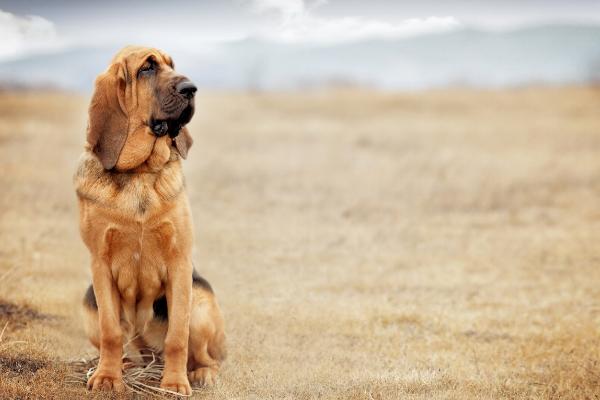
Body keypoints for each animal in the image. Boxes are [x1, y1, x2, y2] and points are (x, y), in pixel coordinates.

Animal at [75, 46, 225, 394]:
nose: (191, 89)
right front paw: (107, 378)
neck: (140, 172)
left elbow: (177, 337)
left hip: (201, 299)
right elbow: (111, 332)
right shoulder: (100, 264)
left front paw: (174, 384)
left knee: (203, 355)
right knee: (123, 345)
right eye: (147, 68)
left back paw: (201, 373)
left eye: (172, 65)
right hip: (89, 305)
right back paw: (121, 367)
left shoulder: (179, 262)